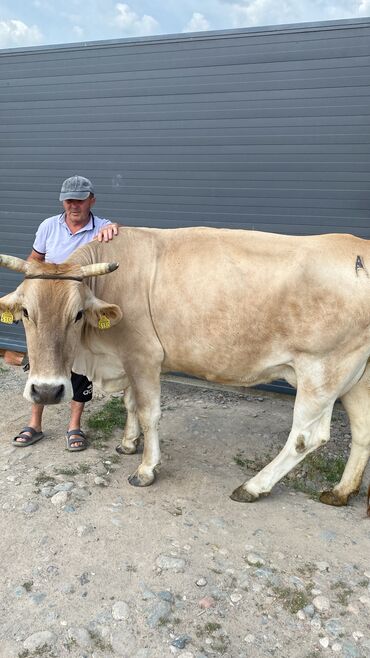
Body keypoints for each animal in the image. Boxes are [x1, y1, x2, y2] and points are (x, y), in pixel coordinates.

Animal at [0, 224, 370, 502]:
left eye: (77, 314)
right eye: (26, 312)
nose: (46, 391)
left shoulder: (144, 356)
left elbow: (148, 413)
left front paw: (145, 469)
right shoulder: (127, 360)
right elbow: (130, 404)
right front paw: (127, 444)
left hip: (321, 370)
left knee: (307, 437)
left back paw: (253, 487)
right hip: (357, 376)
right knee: (362, 430)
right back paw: (340, 491)